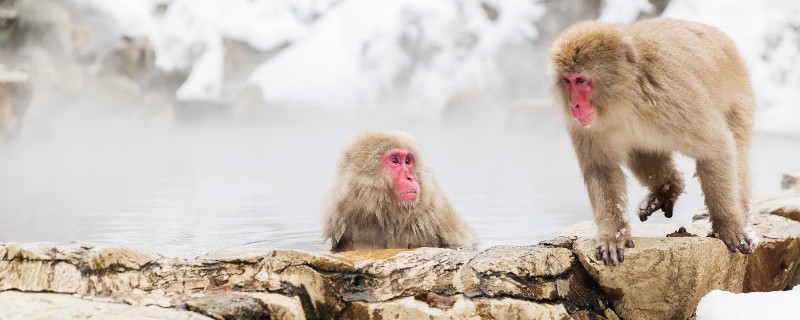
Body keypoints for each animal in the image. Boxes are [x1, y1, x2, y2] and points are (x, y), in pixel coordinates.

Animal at [552, 18, 756, 266]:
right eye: (567, 81)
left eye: (581, 80)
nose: (574, 106)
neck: (627, 98)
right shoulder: (585, 128)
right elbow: (602, 169)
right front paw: (614, 235)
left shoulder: (673, 97)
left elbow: (716, 148)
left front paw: (728, 225)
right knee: (641, 152)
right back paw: (667, 188)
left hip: (740, 99)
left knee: (737, 149)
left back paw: (741, 212)